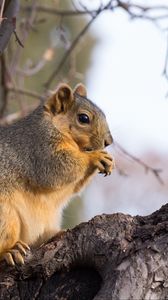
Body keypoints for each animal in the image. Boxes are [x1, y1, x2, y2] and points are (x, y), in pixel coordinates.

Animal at [0, 82, 114, 264]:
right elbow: (55, 169)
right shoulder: (38, 147)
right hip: (4, 215)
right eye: (83, 118)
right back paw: (10, 250)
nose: (109, 142)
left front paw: (108, 161)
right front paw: (94, 157)